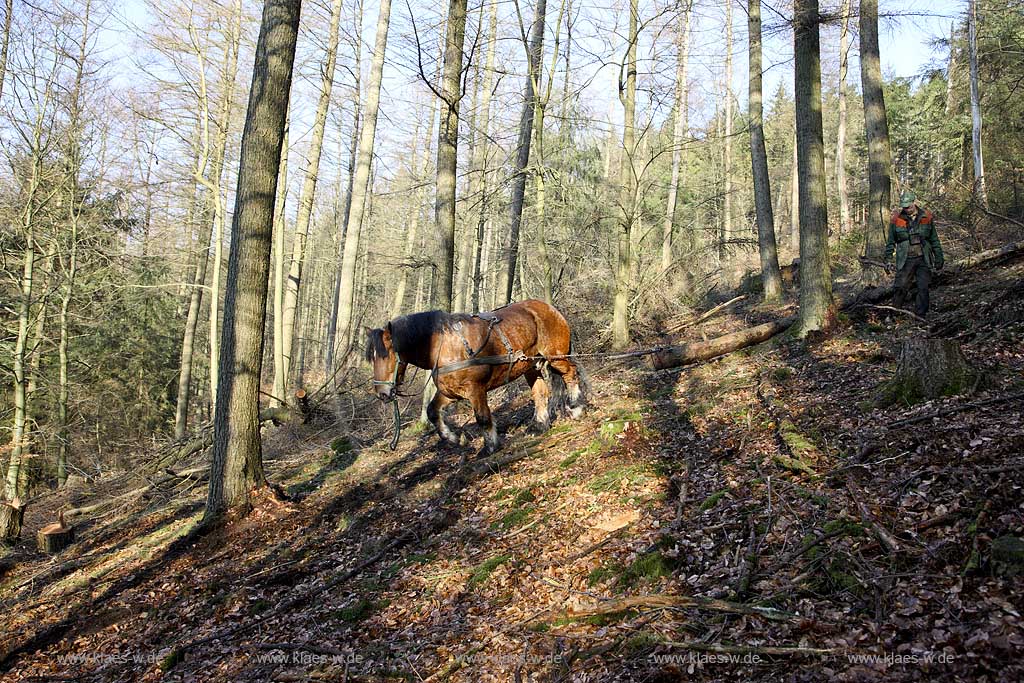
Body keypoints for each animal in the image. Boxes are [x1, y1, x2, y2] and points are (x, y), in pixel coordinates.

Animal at [362, 299, 585, 454]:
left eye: (389, 355)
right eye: (371, 358)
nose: (382, 393)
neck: (444, 346)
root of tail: (549, 308)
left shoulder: (475, 389)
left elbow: (483, 418)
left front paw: (490, 446)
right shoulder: (451, 392)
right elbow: (432, 411)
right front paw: (452, 437)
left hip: (556, 357)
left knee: (571, 374)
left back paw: (576, 406)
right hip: (530, 366)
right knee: (540, 392)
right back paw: (540, 424)